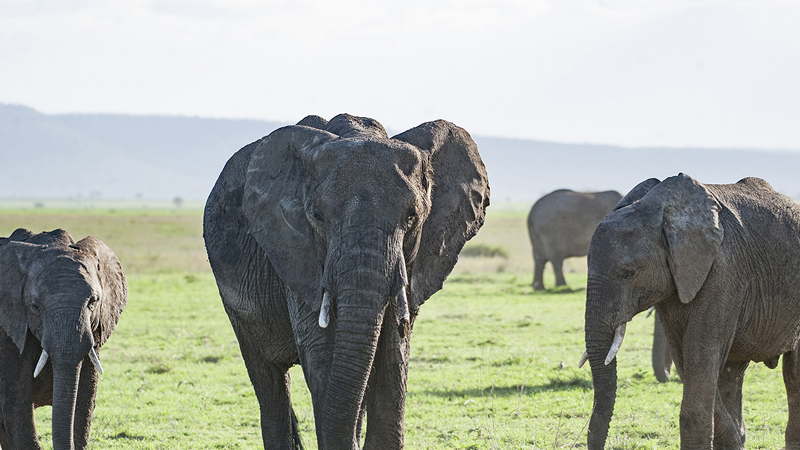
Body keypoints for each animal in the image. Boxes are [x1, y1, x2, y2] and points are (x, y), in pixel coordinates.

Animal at [203, 113, 490, 450]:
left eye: (412, 217)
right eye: (316, 216)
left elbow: (393, 354)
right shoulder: (296, 253)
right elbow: (324, 353)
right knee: (269, 381)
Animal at [580, 173, 800, 450]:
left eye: (629, 272)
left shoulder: (723, 271)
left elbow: (699, 354)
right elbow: (685, 358)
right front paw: (735, 438)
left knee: (793, 377)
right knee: (732, 375)